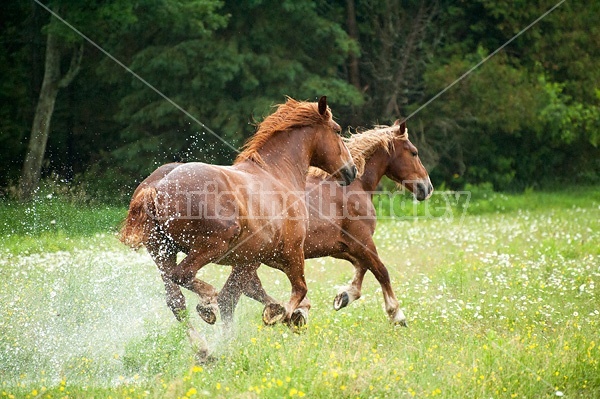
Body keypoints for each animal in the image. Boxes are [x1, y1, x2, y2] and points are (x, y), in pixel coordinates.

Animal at [120, 95, 356, 358]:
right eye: (337, 130)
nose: (352, 170)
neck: (278, 174)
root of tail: (157, 186)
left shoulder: (251, 258)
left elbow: (240, 296)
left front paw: (280, 313)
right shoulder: (292, 251)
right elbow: (298, 289)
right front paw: (282, 315)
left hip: (162, 251)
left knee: (176, 300)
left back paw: (203, 349)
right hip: (212, 244)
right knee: (185, 276)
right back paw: (207, 305)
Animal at [216, 121, 432, 328]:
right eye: (414, 152)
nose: (427, 188)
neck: (355, 187)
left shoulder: (341, 247)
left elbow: (361, 266)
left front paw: (344, 297)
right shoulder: (361, 241)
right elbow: (381, 270)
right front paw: (397, 315)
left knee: (244, 289)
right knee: (236, 293)